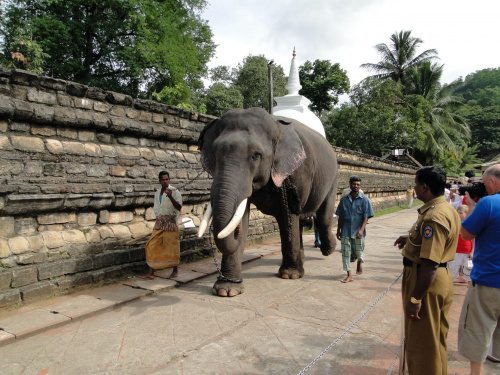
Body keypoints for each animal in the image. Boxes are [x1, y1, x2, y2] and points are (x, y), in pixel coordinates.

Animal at [197, 106, 338, 296]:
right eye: (215, 153)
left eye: (256, 155)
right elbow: (242, 216)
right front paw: (226, 290)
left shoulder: (296, 173)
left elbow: (288, 217)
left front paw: (289, 275)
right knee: (302, 222)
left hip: (333, 178)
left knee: (322, 218)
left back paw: (329, 250)